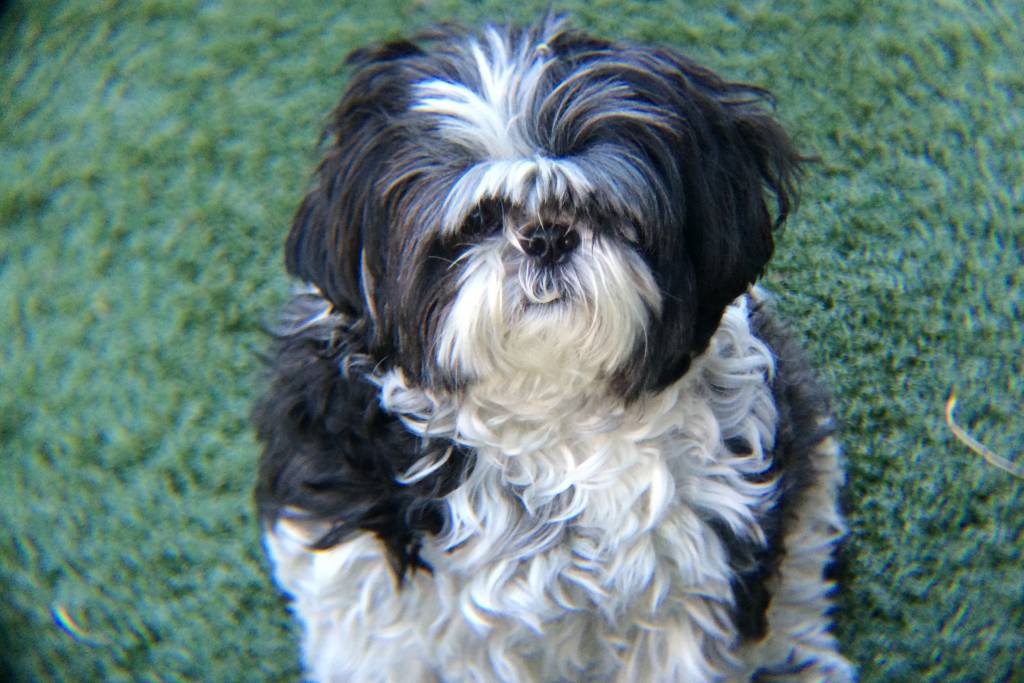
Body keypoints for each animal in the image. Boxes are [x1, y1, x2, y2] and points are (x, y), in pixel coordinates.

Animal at [254, 16, 854, 682]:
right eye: (477, 220)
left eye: (605, 210)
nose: (547, 236)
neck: (544, 412)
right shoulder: (373, 602)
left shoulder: (690, 577)